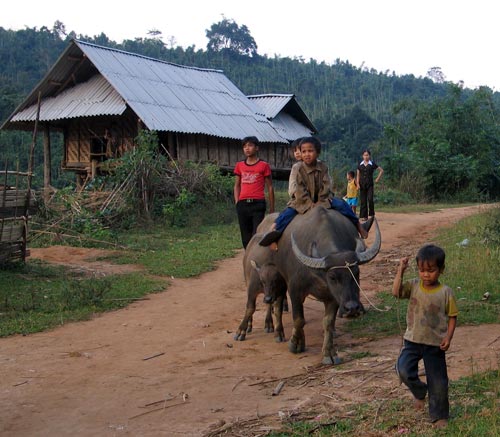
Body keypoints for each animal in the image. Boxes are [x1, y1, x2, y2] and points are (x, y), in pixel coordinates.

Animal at [256, 206, 380, 362]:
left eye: (356, 273)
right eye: (332, 277)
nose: (352, 308)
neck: (318, 274)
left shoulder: (333, 297)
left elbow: (328, 322)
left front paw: (329, 353)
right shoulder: (295, 289)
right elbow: (299, 320)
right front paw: (296, 344)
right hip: (278, 278)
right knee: (277, 304)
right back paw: (278, 332)